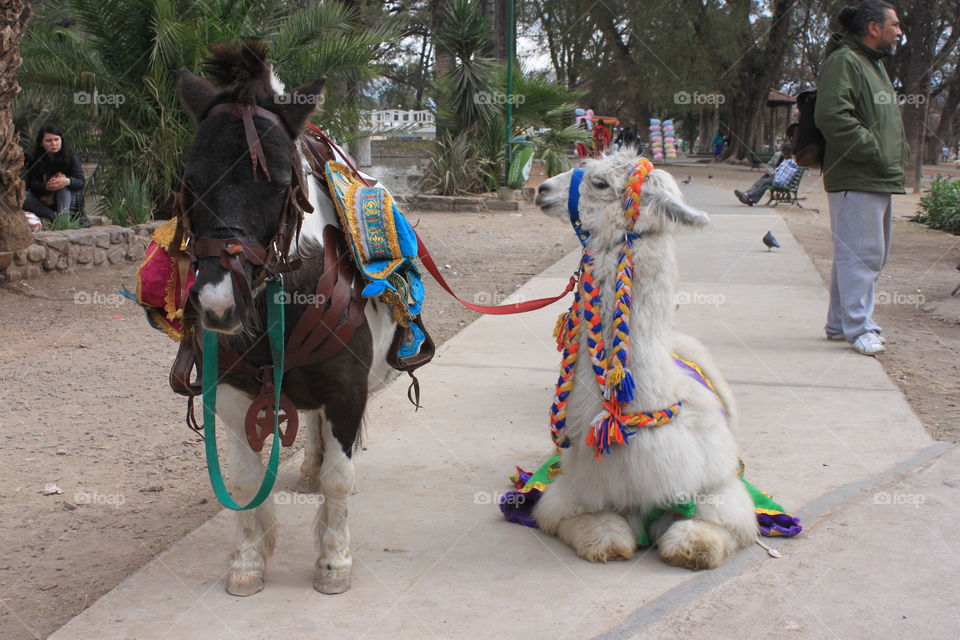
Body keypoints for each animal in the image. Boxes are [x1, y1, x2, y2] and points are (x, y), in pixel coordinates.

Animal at [176, 42, 394, 596]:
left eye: (276, 184)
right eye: (192, 182)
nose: (218, 304)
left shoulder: (347, 391)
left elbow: (341, 479)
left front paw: (334, 563)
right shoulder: (231, 393)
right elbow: (246, 482)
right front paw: (248, 562)